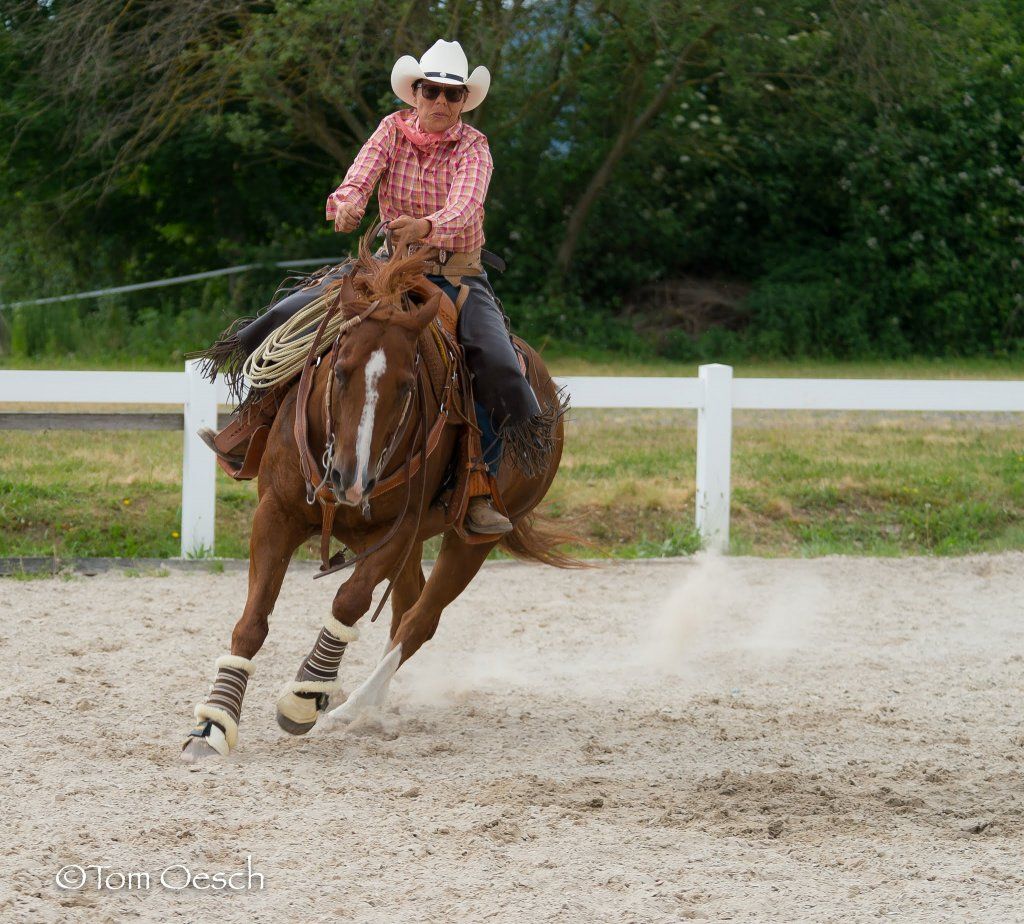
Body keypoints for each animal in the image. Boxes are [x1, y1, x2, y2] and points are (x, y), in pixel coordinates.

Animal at [181, 239, 577, 761]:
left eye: (407, 384)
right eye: (339, 369)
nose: (351, 480)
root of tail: (549, 396)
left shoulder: (397, 531)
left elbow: (348, 601)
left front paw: (303, 698)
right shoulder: (276, 513)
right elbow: (253, 619)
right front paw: (213, 723)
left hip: (470, 541)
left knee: (420, 619)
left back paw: (351, 708)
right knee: (405, 605)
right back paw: (364, 707)